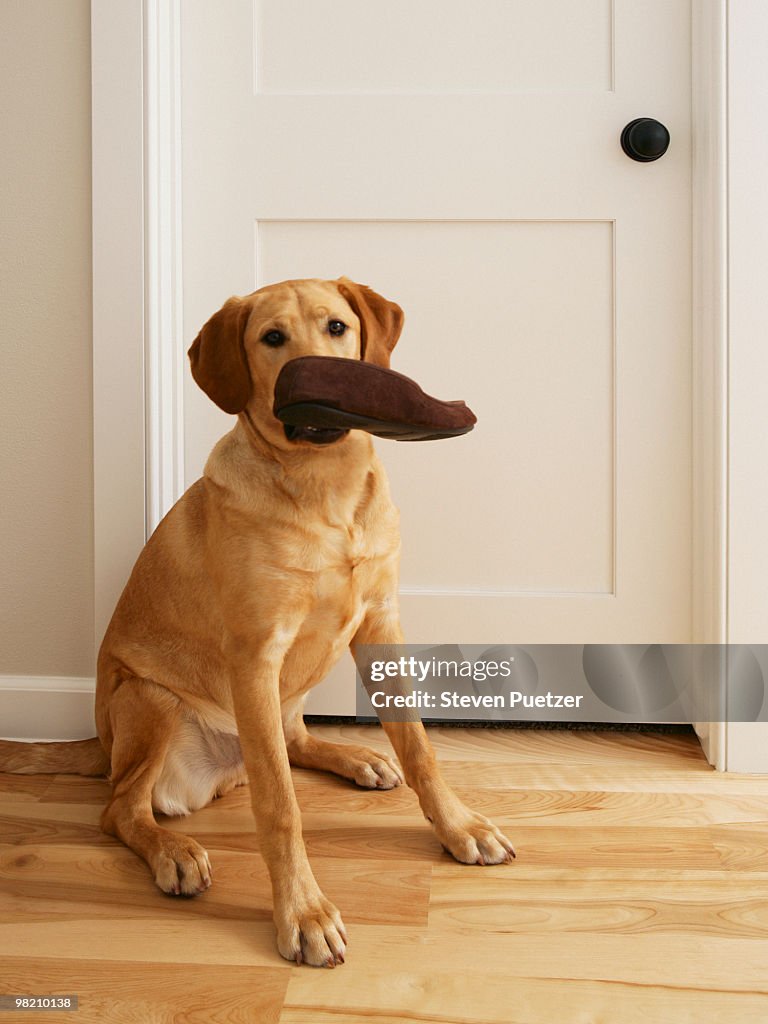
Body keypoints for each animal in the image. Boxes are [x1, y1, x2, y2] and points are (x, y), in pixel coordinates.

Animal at [1, 280, 518, 966]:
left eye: (336, 327)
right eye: (272, 339)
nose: (315, 383)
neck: (324, 485)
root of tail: (102, 742)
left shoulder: (380, 626)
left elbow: (420, 749)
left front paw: (459, 826)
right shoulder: (255, 656)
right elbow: (280, 805)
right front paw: (303, 912)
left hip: (280, 692)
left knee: (292, 740)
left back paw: (357, 758)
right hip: (151, 698)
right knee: (122, 808)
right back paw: (173, 851)